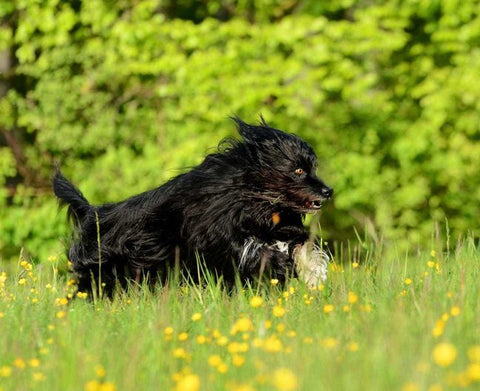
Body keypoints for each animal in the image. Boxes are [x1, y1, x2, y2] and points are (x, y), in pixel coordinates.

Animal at [51, 117, 330, 298]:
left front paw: (313, 274)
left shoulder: (279, 227)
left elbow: (300, 243)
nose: (328, 191)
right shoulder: (212, 233)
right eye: (299, 170)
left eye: (312, 168)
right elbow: (246, 249)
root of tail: (93, 213)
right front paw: (280, 262)